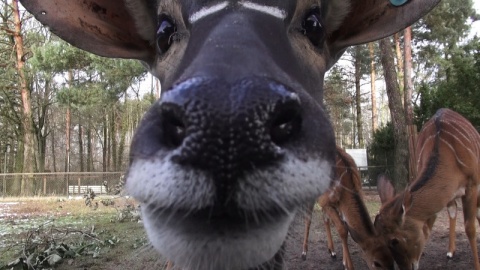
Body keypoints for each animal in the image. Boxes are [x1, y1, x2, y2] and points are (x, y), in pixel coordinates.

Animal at [376, 108, 480, 270]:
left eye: (395, 240)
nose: (406, 267)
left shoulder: (472, 185)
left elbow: (470, 228)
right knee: (453, 210)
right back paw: (450, 252)